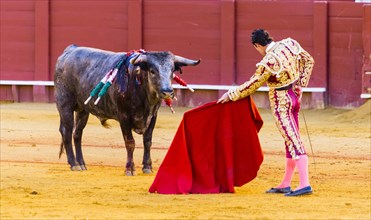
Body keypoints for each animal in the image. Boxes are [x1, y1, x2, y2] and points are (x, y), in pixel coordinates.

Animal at [53, 44, 201, 175]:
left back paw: (82, 164)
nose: (167, 92)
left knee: (77, 133)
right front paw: (130, 168)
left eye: (171, 71)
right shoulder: (123, 117)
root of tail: (70, 49)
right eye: (152, 71)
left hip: (83, 110)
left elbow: (148, 141)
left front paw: (147, 167)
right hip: (65, 104)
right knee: (66, 131)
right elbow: (130, 143)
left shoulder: (153, 116)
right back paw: (74, 164)